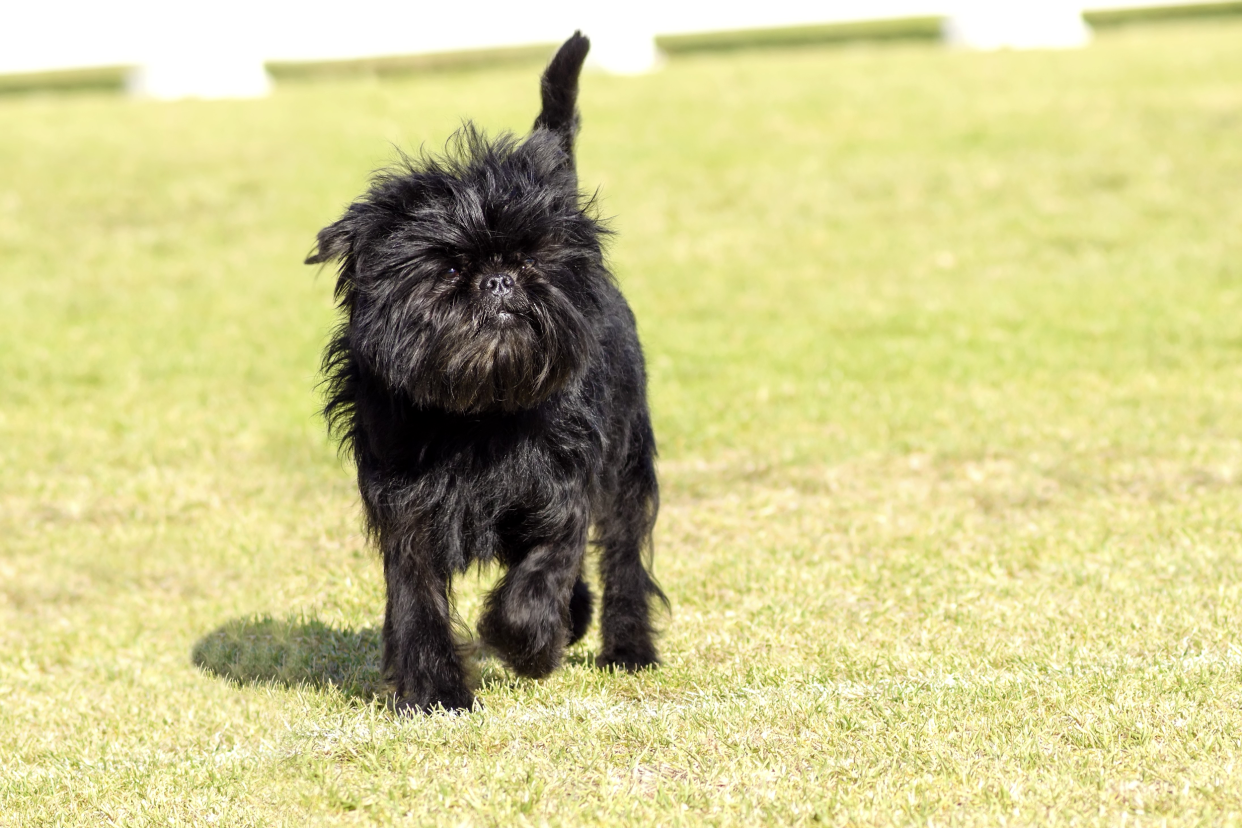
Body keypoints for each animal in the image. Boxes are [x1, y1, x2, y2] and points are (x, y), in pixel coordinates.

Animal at [306, 29, 665, 710]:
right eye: (448, 268)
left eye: (531, 259)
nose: (500, 279)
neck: (478, 412)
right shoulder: (406, 509)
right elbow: (417, 599)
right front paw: (435, 692)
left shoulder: (563, 488)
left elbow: (545, 571)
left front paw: (526, 643)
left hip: (628, 458)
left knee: (623, 554)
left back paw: (626, 647)